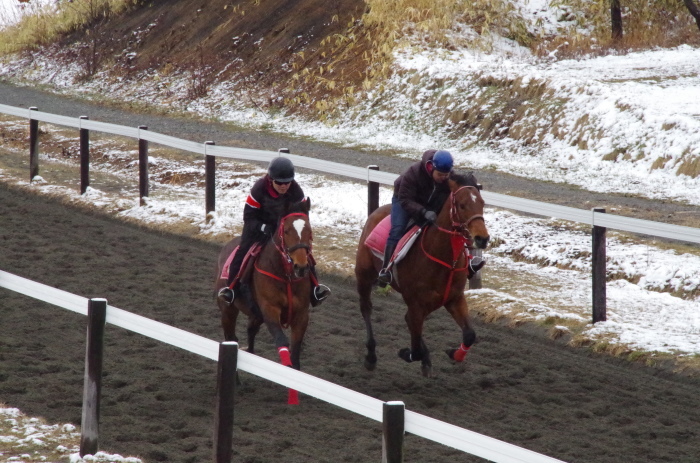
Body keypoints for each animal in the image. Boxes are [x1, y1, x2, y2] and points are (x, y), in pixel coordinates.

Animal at [213, 199, 312, 380]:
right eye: (286, 231)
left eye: (309, 230)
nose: (301, 267)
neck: (286, 276)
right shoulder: (269, 309)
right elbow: (281, 341)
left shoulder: (301, 314)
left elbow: (295, 352)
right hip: (228, 309)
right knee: (231, 337)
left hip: (255, 313)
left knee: (250, 329)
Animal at [356, 172, 486, 378]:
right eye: (461, 205)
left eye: (482, 203)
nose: (483, 238)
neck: (444, 259)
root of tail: (377, 211)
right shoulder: (417, 304)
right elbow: (415, 349)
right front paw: (408, 353)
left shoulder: (454, 298)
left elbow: (469, 335)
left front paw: (453, 353)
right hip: (364, 274)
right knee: (366, 308)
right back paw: (371, 356)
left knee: (408, 321)